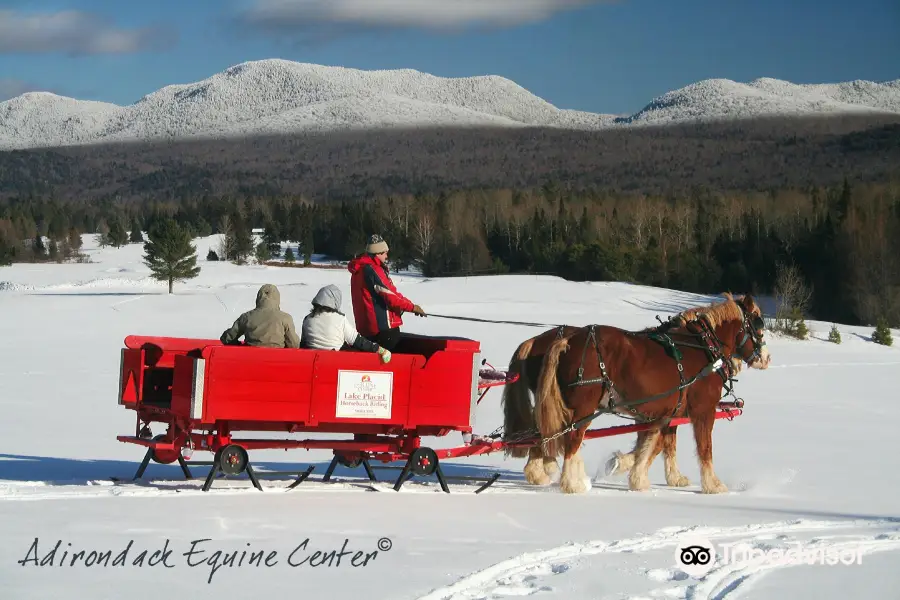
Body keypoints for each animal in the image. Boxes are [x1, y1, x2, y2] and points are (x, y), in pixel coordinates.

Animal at [532, 292, 768, 494]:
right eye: (759, 325)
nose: (766, 359)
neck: (704, 347)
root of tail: (568, 341)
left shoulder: (667, 412)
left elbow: (655, 445)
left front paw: (645, 477)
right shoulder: (703, 410)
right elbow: (703, 447)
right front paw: (713, 485)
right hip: (583, 408)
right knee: (572, 440)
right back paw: (572, 484)